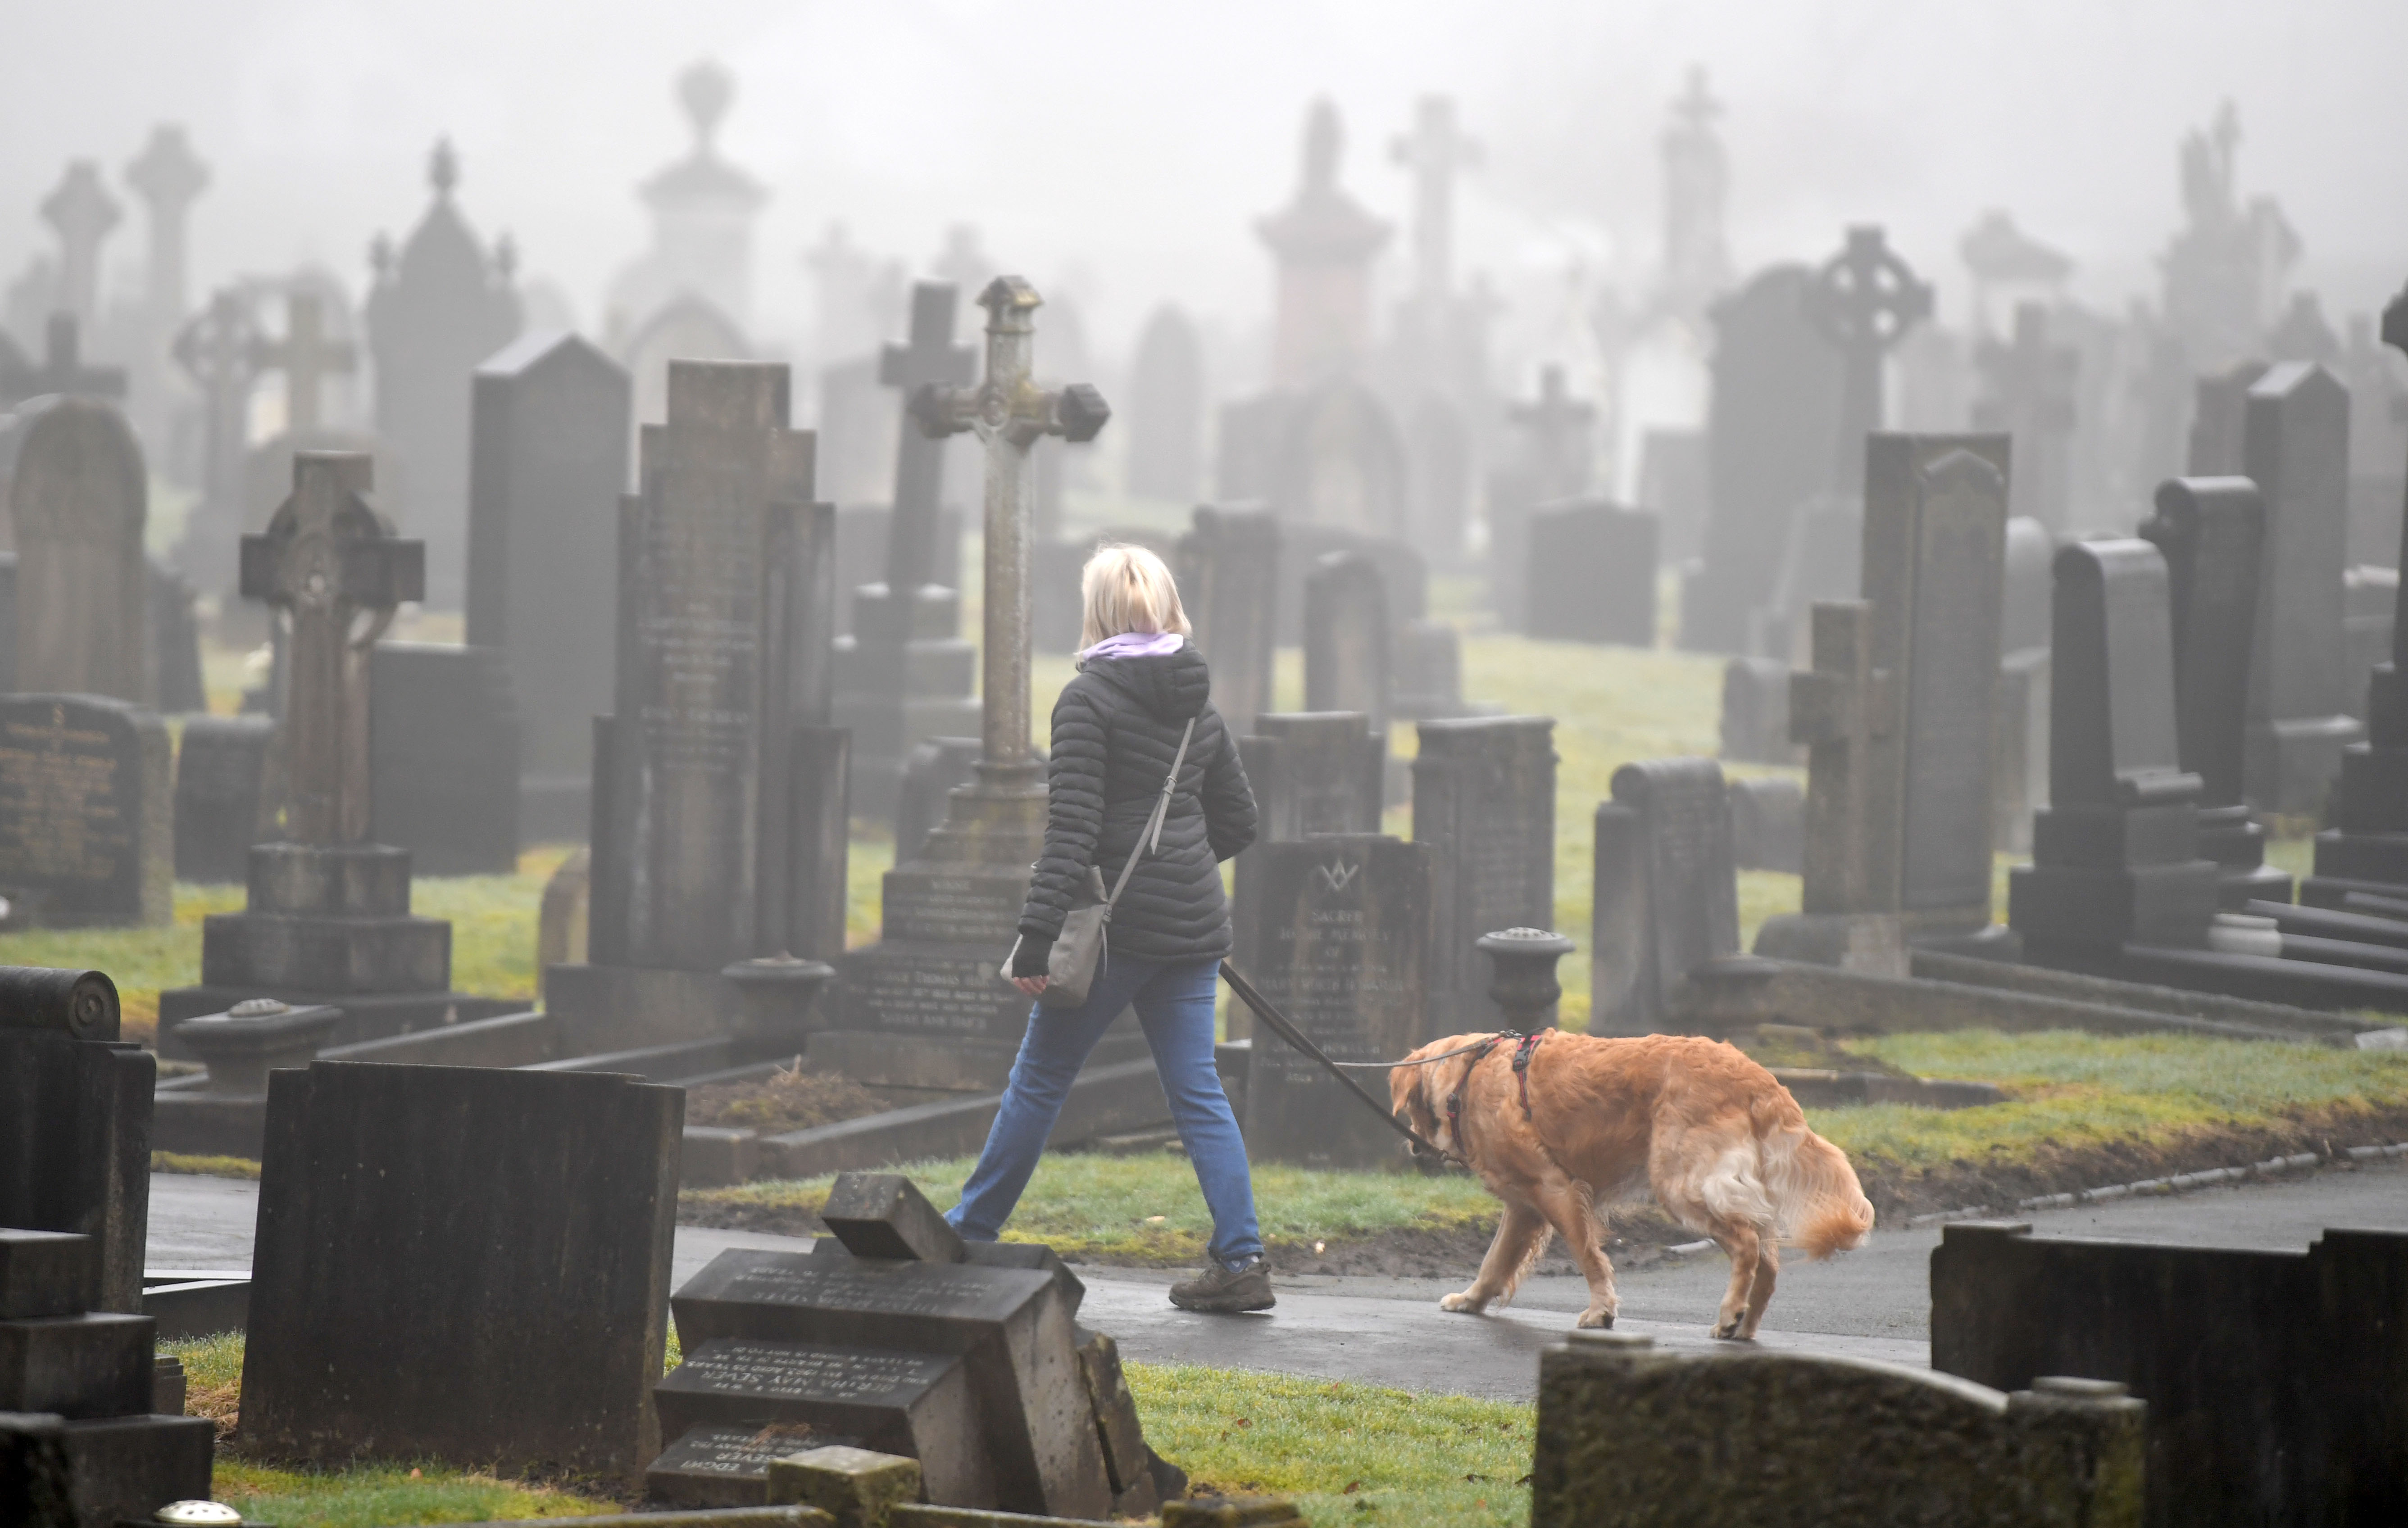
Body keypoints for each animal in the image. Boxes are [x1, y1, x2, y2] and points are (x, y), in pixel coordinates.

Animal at [1396, 1029, 1878, 1338]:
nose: (1411, 1147)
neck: (1469, 1075)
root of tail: (1756, 1074)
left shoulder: (1555, 1188)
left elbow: (1588, 1256)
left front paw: (1600, 1311)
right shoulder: (1523, 1206)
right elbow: (1494, 1263)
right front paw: (1470, 1300)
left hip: (1681, 1184)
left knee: (1746, 1244)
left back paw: (1729, 1315)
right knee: (1769, 1259)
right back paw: (1745, 1324)